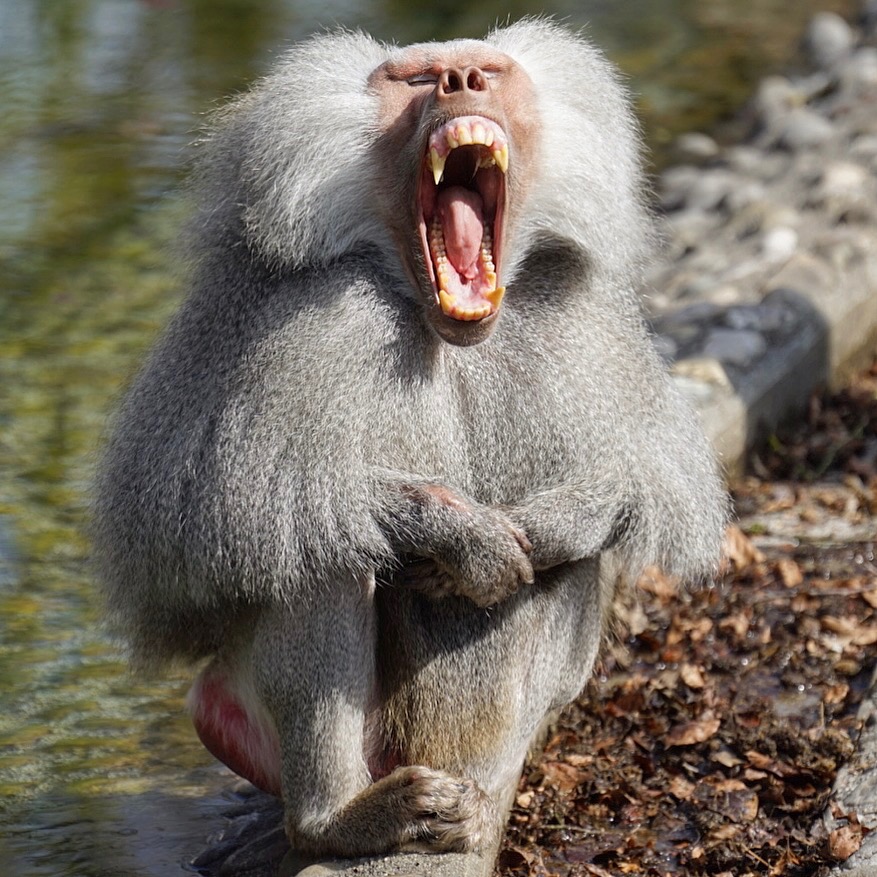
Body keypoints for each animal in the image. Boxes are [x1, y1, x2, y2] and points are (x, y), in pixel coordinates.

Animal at [94, 18, 727, 864]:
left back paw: (479, 802)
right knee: (314, 533)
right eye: (416, 79)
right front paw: (463, 536)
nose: (461, 80)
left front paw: (544, 526)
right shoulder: (287, 324)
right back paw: (341, 817)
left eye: (488, 69)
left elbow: (636, 481)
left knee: (572, 566)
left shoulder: (584, 322)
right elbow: (204, 519)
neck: (436, 321)